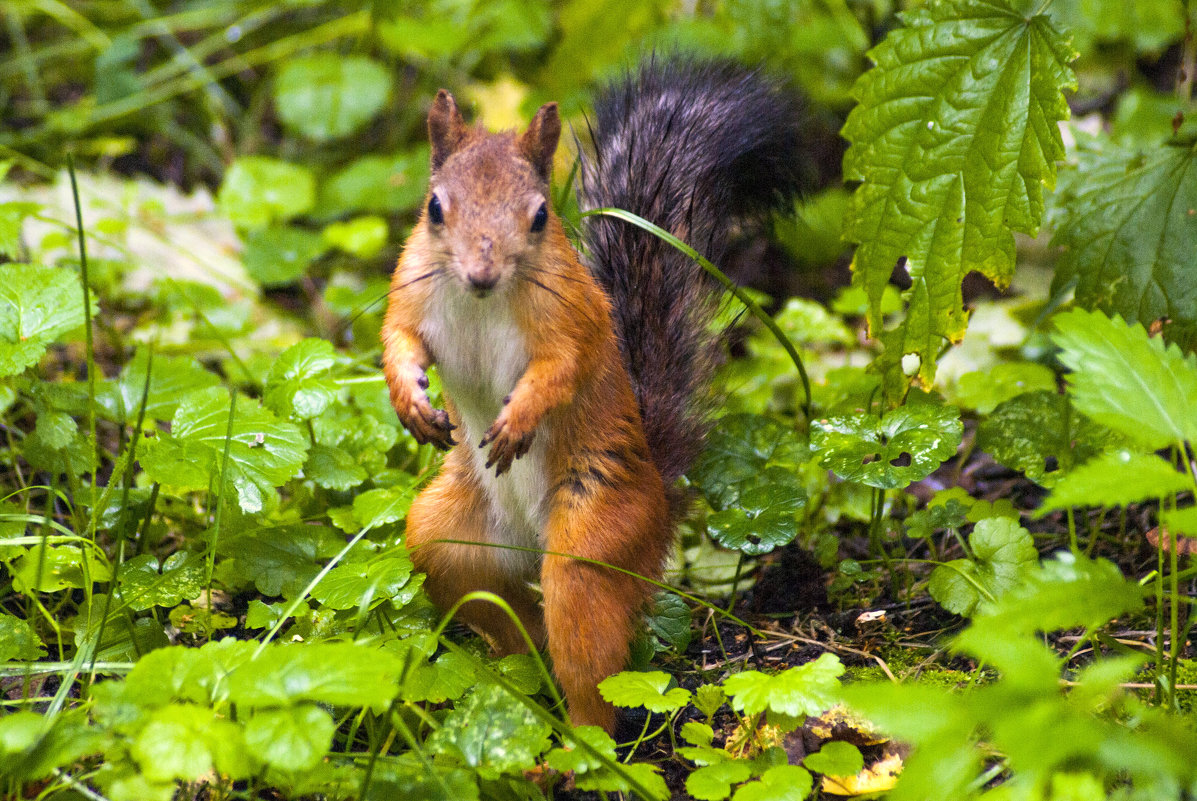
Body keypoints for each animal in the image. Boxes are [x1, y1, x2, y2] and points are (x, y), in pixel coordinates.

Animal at [383, 57, 804, 732]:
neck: (483, 303)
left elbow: (560, 371)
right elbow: (397, 340)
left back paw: (579, 741)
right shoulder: (410, 293)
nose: (480, 274)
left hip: (595, 538)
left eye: (538, 216)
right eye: (434, 208)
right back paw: (526, 679)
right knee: (502, 609)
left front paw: (519, 420)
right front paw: (411, 402)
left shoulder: (573, 321)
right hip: (446, 540)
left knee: (586, 649)